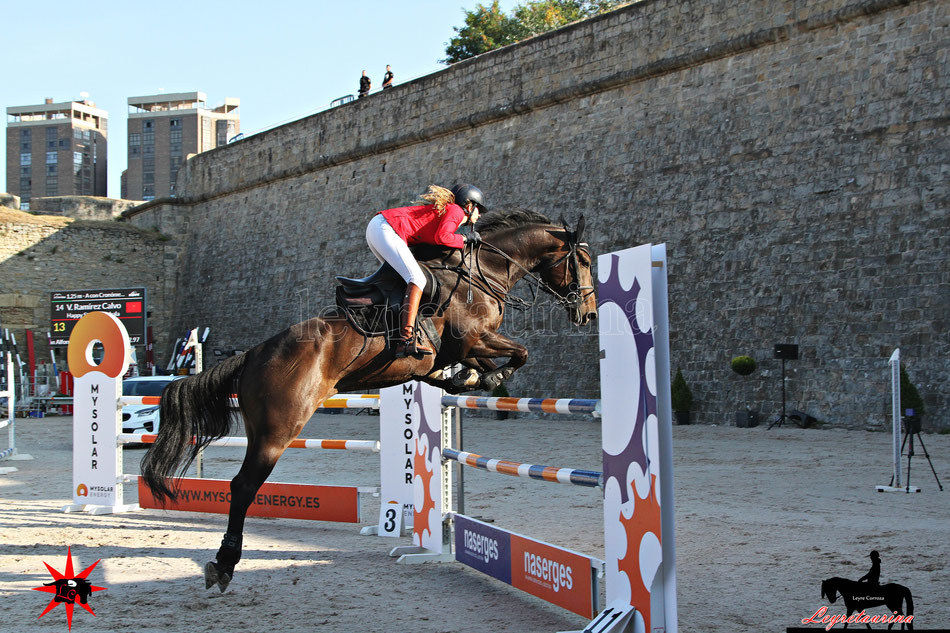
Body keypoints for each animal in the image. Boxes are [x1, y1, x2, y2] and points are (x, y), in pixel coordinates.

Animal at [138, 210, 600, 592]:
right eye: (583, 261)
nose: (590, 314)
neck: (481, 272)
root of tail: (253, 354)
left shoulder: (467, 347)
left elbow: (488, 362)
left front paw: (461, 379)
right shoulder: (473, 339)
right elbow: (520, 353)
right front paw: (489, 377)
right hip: (277, 432)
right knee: (243, 486)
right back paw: (224, 564)